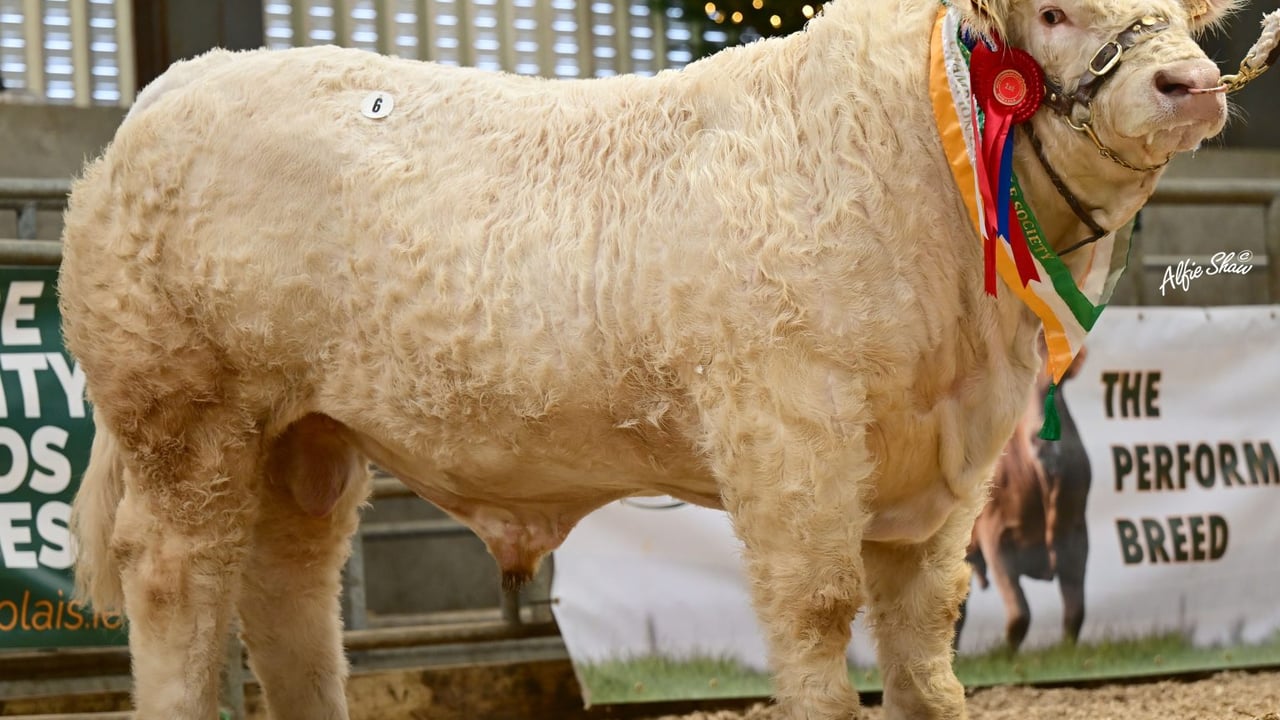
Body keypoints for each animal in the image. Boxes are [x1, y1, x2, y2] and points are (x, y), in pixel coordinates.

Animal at [58, 0, 1237, 716]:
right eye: (1052, 12)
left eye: (1182, 13)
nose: (1192, 83)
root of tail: (174, 86)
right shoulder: (789, 427)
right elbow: (816, 612)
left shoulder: (945, 462)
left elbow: (923, 635)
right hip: (186, 419)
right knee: (178, 585)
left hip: (306, 436)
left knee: (287, 594)